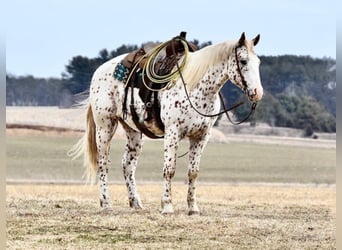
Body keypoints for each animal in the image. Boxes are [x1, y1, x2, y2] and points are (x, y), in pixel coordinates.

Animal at [68, 31, 264, 215]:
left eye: (258, 62)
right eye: (243, 61)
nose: (257, 92)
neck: (195, 86)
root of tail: (99, 71)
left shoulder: (201, 136)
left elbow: (193, 172)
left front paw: (193, 208)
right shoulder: (172, 133)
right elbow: (169, 169)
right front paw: (167, 206)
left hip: (133, 131)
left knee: (128, 164)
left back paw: (135, 202)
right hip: (105, 126)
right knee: (103, 163)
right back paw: (106, 204)